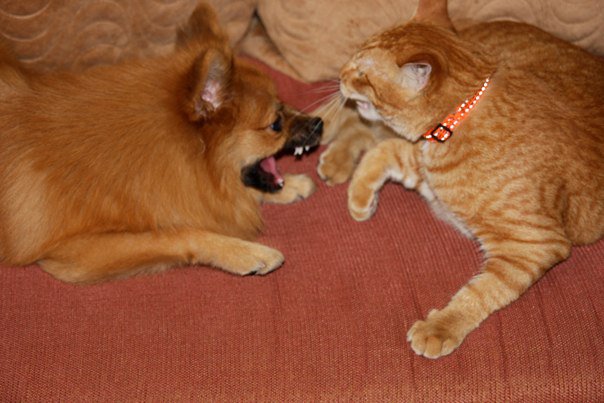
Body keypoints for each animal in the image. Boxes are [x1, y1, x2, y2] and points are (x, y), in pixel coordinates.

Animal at [0, 4, 322, 283]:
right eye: (275, 123)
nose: (319, 124)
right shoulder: (73, 250)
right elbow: (181, 231)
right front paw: (245, 252)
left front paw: (292, 185)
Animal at [325, 0, 604, 358]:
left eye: (361, 73)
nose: (340, 74)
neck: (461, 114)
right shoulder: (425, 169)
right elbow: (382, 151)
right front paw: (361, 199)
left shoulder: (533, 245)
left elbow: (481, 292)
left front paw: (440, 327)